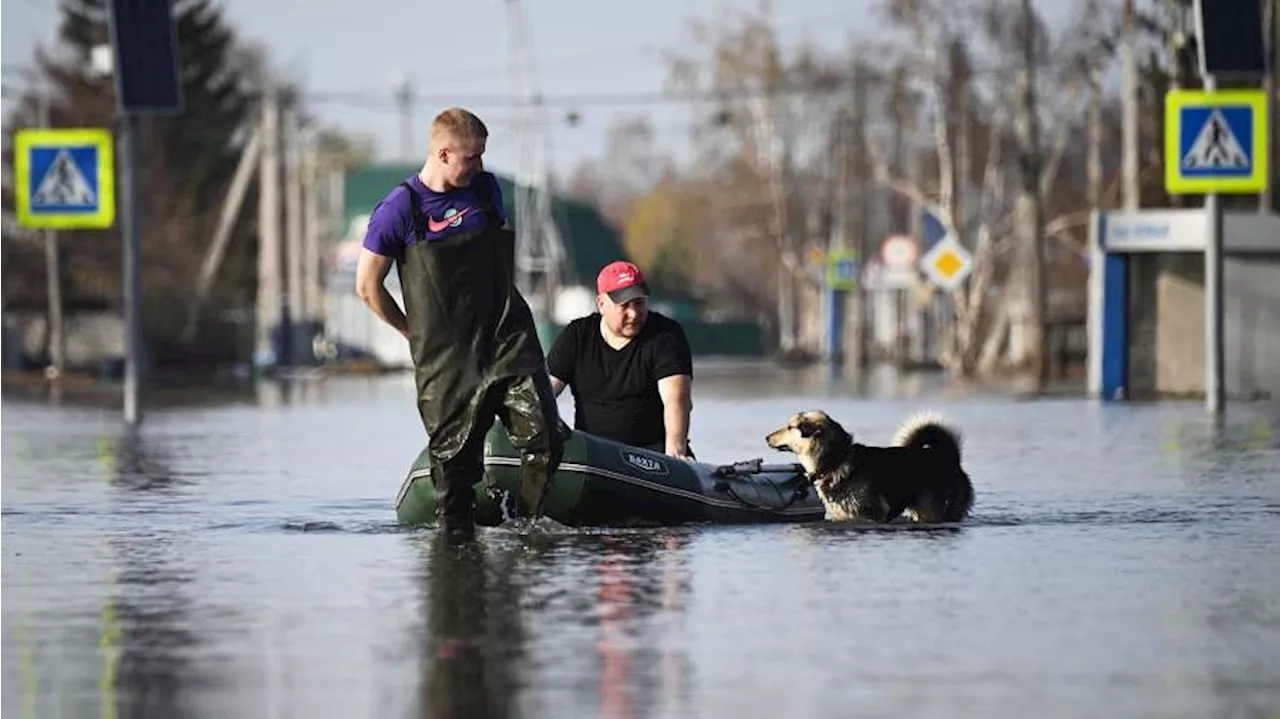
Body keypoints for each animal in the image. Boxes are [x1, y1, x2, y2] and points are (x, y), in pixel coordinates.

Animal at [762, 409, 972, 519]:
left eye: (790, 427)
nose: (766, 437)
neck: (835, 460)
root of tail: (948, 456)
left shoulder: (871, 514)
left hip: (933, 509)